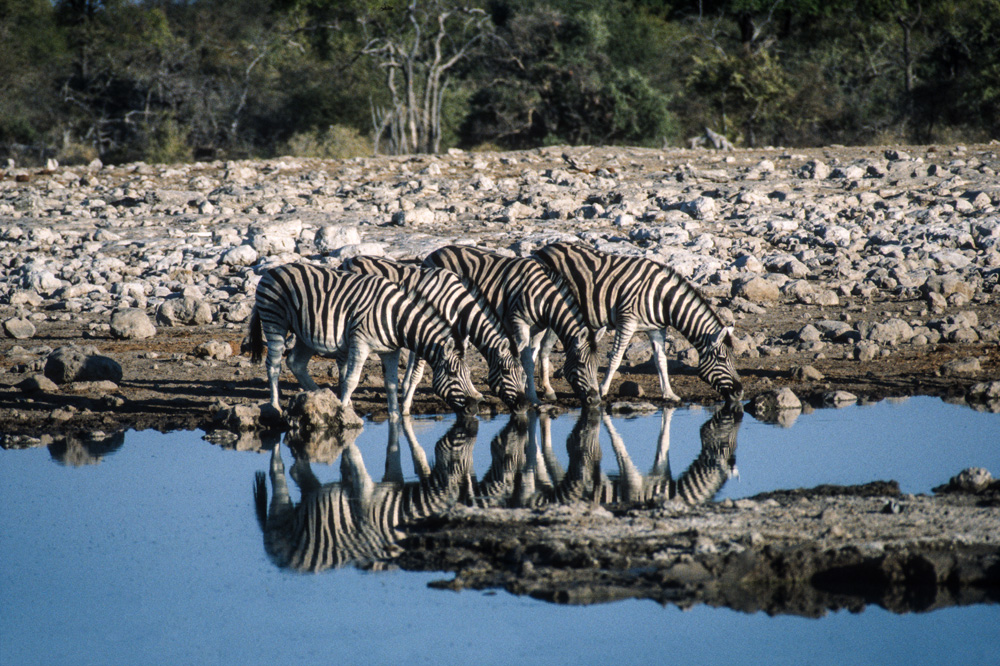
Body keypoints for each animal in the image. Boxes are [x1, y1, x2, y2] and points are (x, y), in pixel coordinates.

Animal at [248, 262, 479, 417]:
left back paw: (323, 395)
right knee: (274, 365)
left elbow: (391, 384)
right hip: (274, 321)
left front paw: (395, 416)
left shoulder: (391, 351)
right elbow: (352, 380)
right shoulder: (360, 343)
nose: (474, 406)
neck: (396, 319)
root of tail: (272, 270)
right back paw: (276, 406)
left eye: (468, 373)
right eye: (452, 374)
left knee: (296, 363)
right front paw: (341, 411)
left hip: (304, 334)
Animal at [254, 415, 479, 572]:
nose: (472, 426)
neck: (402, 508)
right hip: (280, 513)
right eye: (457, 460)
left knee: (298, 472)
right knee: (278, 473)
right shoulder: (365, 496)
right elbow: (356, 457)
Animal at [341, 255, 529, 414]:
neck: (457, 304)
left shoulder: (454, 334)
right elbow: (416, 374)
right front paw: (406, 408)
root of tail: (349, 260)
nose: (523, 406)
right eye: (505, 371)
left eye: (523, 374)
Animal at [423, 245, 602, 407]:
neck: (544, 298)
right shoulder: (519, 321)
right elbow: (527, 362)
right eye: (581, 364)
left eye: (597, 365)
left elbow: (531, 358)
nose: (595, 400)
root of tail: (434, 253)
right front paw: (533, 398)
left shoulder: (539, 328)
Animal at [533, 241, 743, 406]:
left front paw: (669, 394)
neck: (662, 298)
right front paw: (602, 390)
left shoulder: (657, 329)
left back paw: (547, 389)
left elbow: (661, 361)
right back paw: (545, 388)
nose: (740, 392)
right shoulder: (626, 321)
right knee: (538, 346)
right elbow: (616, 358)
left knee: (541, 347)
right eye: (722, 359)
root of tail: (544, 248)